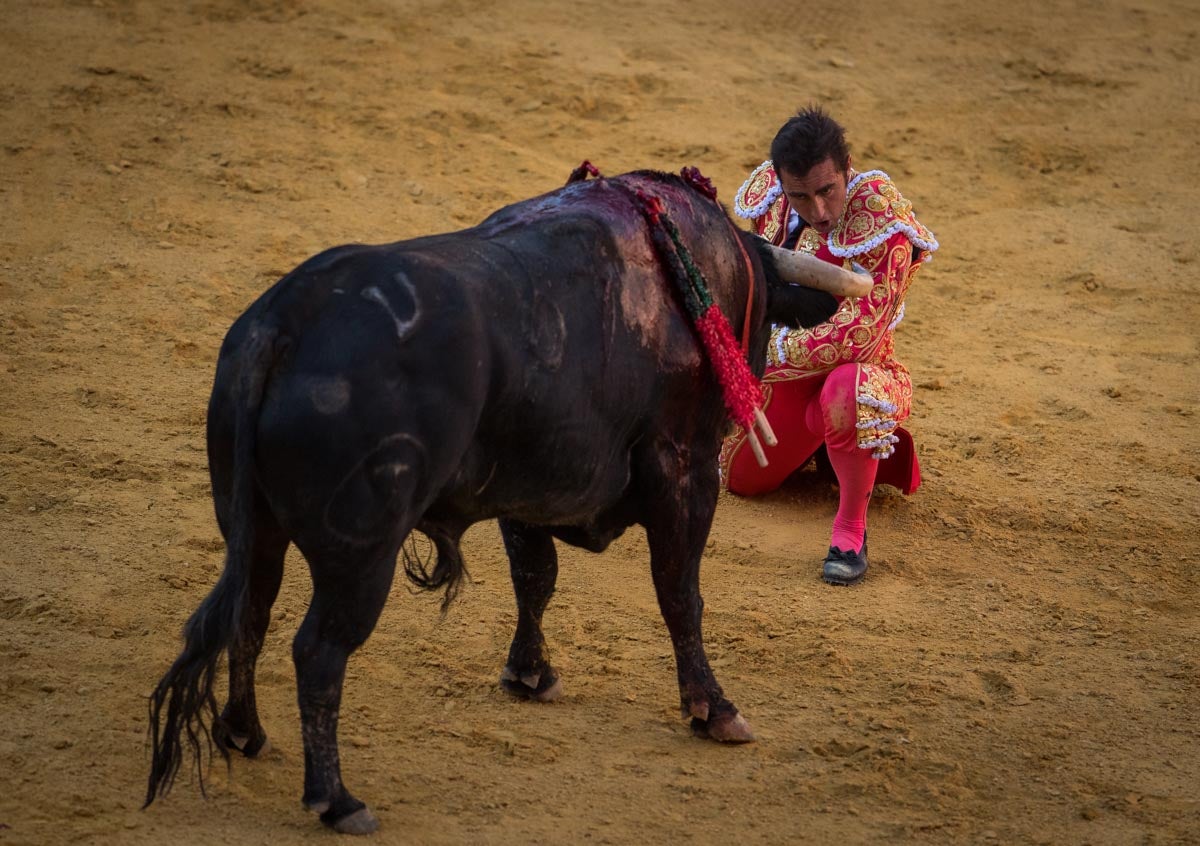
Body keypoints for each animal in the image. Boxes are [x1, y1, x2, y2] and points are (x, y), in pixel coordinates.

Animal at [142, 170, 835, 830]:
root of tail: (283, 325)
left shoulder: (525, 487)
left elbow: (535, 578)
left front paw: (530, 674)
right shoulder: (684, 470)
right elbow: (679, 594)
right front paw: (712, 708)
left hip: (254, 529)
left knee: (250, 613)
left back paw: (244, 732)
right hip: (360, 557)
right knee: (318, 651)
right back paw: (337, 800)